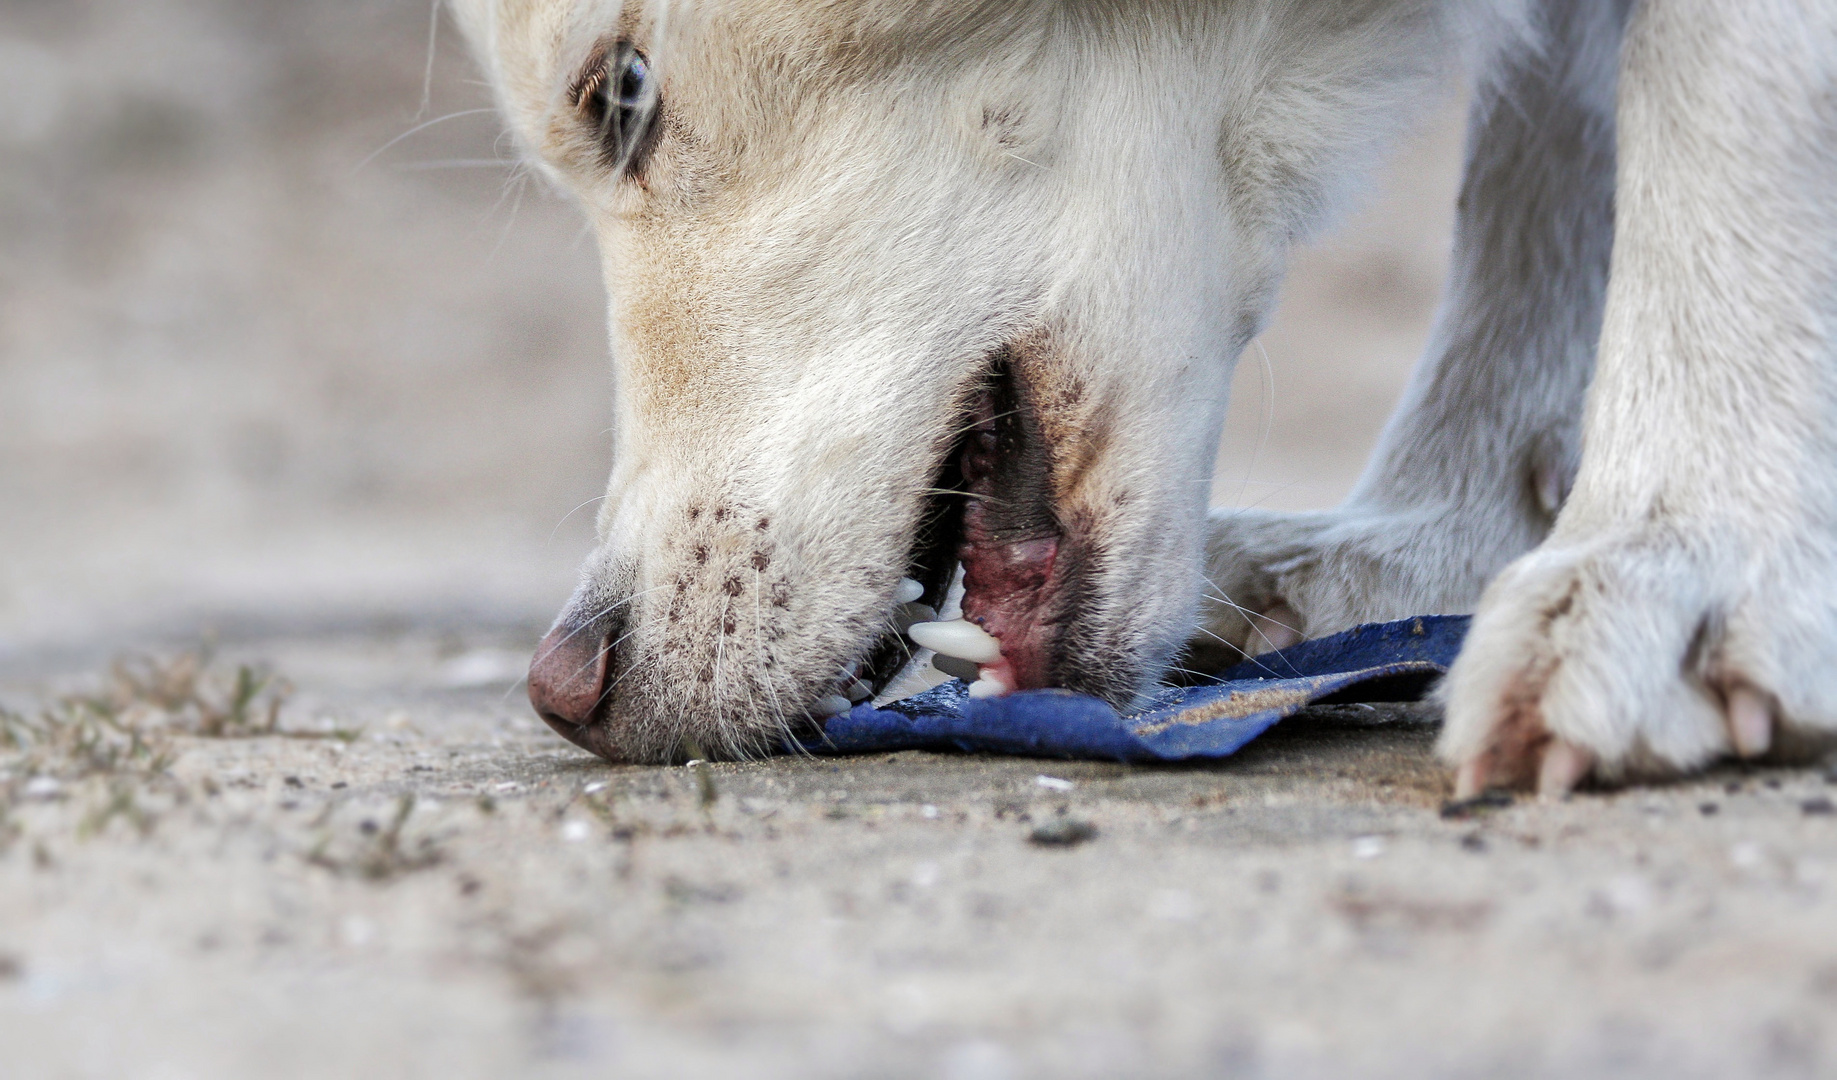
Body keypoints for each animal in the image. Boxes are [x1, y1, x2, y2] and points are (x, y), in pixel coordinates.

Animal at [459, 0, 1837, 793]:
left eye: (622, 93)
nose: (565, 688)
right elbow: (1544, 137)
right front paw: (1431, 535)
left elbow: (1723, 82)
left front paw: (1682, 544)